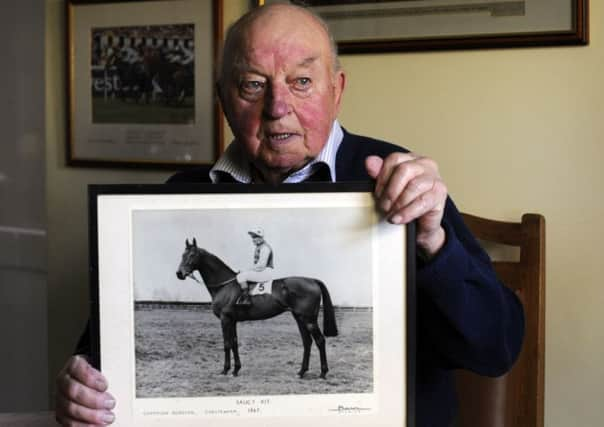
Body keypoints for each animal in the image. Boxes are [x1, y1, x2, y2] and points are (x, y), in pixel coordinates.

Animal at [175, 239, 338, 380]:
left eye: (192, 255)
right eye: (182, 255)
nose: (179, 273)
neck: (225, 286)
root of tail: (312, 280)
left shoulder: (225, 319)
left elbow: (227, 343)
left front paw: (225, 370)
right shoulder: (232, 321)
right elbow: (234, 343)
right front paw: (236, 370)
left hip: (309, 319)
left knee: (320, 340)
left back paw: (323, 373)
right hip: (299, 318)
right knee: (307, 342)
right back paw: (301, 372)